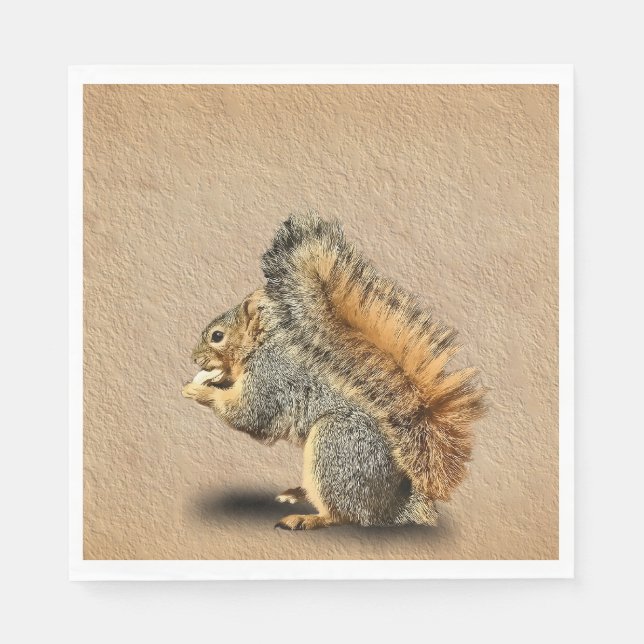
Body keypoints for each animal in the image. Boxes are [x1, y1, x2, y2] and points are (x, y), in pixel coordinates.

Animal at [182, 215, 487, 530]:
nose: (194, 357)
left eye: (217, 336)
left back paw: (306, 518)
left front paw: (198, 390)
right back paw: (296, 493)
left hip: (335, 445)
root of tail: (396, 506)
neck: (261, 346)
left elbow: (251, 414)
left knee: (342, 514)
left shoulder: (271, 378)